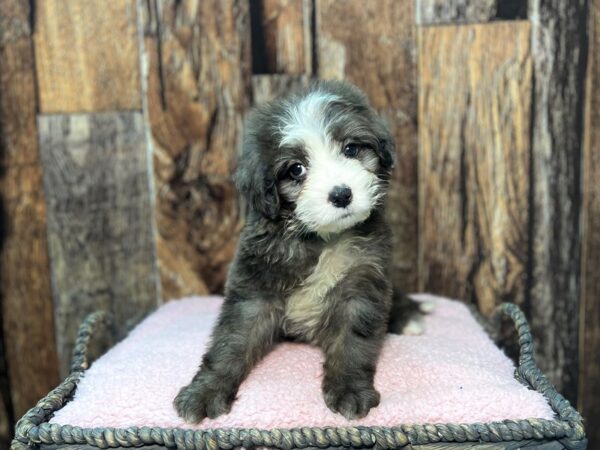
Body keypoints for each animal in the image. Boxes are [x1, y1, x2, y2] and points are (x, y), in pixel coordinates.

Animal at [175, 80, 432, 422]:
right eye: (296, 169)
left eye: (351, 149)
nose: (341, 194)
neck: (321, 238)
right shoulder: (254, 285)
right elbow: (232, 340)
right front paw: (205, 391)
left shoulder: (363, 279)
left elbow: (352, 342)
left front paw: (350, 389)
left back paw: (409, 316)